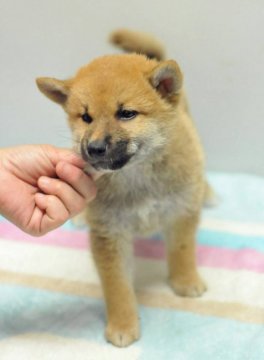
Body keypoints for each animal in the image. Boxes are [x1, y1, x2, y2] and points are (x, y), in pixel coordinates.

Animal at [37, 29, 209, 348]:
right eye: (86, 117)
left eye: (126, 113)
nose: (93, 148)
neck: (137, 176)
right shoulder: (109, 233)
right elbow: (116, 287)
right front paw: (123, 324)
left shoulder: (180, 211)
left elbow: (181, 250)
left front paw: (185, 280)